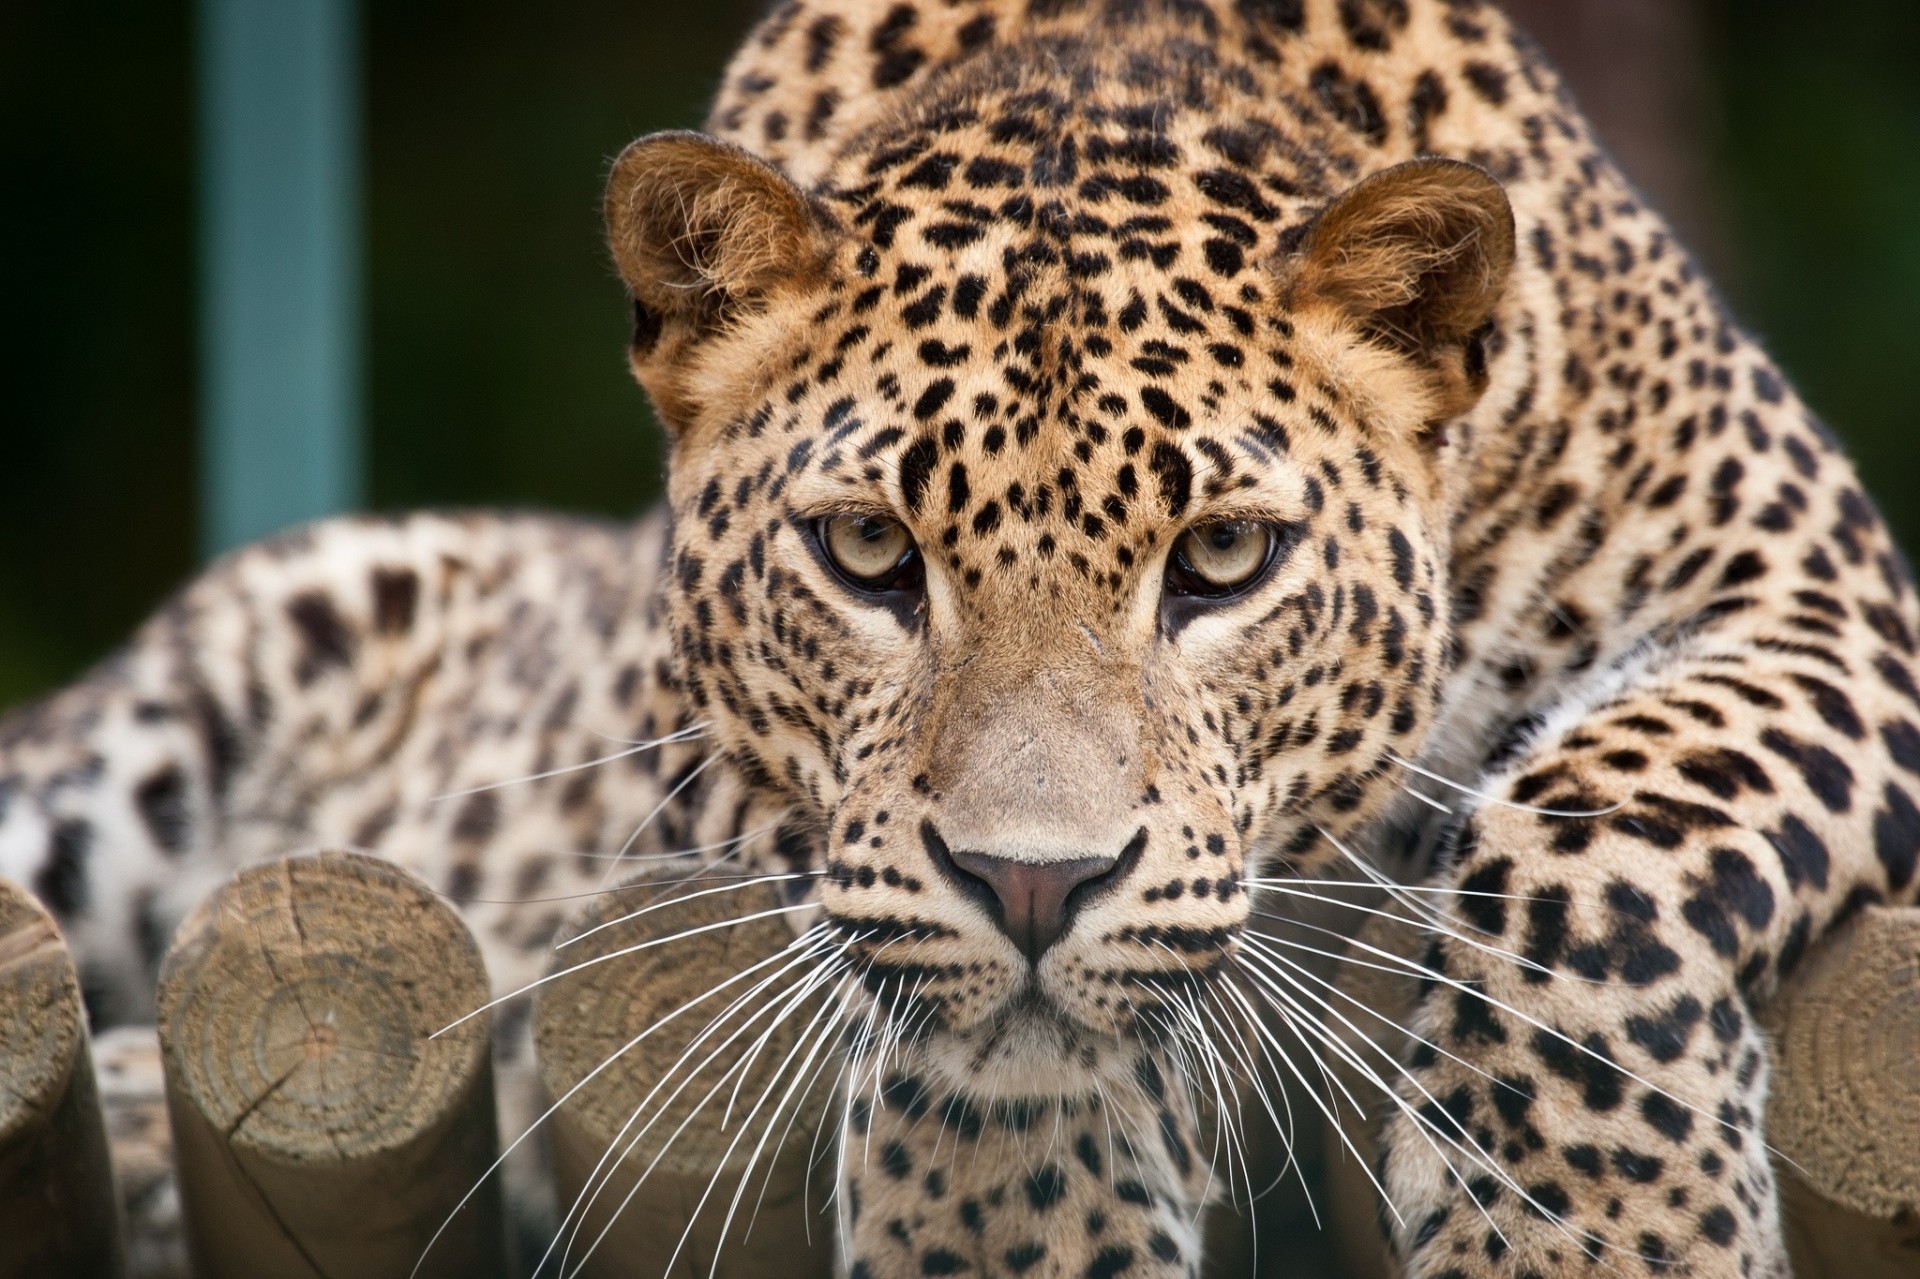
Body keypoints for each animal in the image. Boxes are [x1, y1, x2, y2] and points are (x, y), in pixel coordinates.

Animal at [5, 1, 1918, 1276]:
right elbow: (946, 1002)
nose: (1034, 883)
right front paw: (1021, 1219)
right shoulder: (710, 771)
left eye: (1222, 557)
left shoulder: (1816, 588)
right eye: (869, 553)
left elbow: (1608, 840)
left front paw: (1602, 1230)